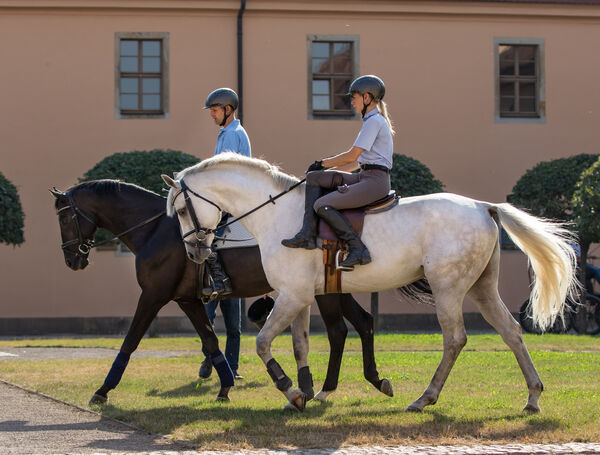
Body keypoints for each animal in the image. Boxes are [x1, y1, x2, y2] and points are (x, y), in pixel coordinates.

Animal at [50, 182, 390, 406]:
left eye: (64, 217)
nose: (72, 259)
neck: (156, 230)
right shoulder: (187, 299)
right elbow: (211, 340)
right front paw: (225, 387)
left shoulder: (153, 295)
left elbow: (130, 341)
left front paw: (103, 390)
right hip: (335, 288)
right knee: (363, 322)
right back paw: (370, 381)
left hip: (326, 293)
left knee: (338, 330)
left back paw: (331, 388)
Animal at [162, 153, 580, 414]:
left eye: (181, 210)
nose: (196, 252)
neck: (279, 214)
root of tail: (482, 206)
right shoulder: (298, 296)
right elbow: (300, 344)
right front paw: (303, 393)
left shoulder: (293, 295)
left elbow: (264, 343)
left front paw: (292, 391)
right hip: (481, 287)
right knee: (511, 331)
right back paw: (533, 397)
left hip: (447, 288)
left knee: (455, 339)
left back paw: (425, 398)